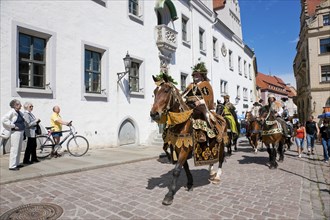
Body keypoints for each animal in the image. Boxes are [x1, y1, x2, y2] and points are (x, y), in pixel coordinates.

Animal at [150, 75, 226, 205]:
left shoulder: (185, 149)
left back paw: (217, 177)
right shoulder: (179, 147)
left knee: (221, 159)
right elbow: (185, 167)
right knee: (213, 159)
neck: (181, 122)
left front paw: (169, 195)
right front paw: (190, 183)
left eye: (166, 90)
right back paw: (211, 172)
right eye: (155, 92)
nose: (154, 114)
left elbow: (176, 170)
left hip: (221, 143)